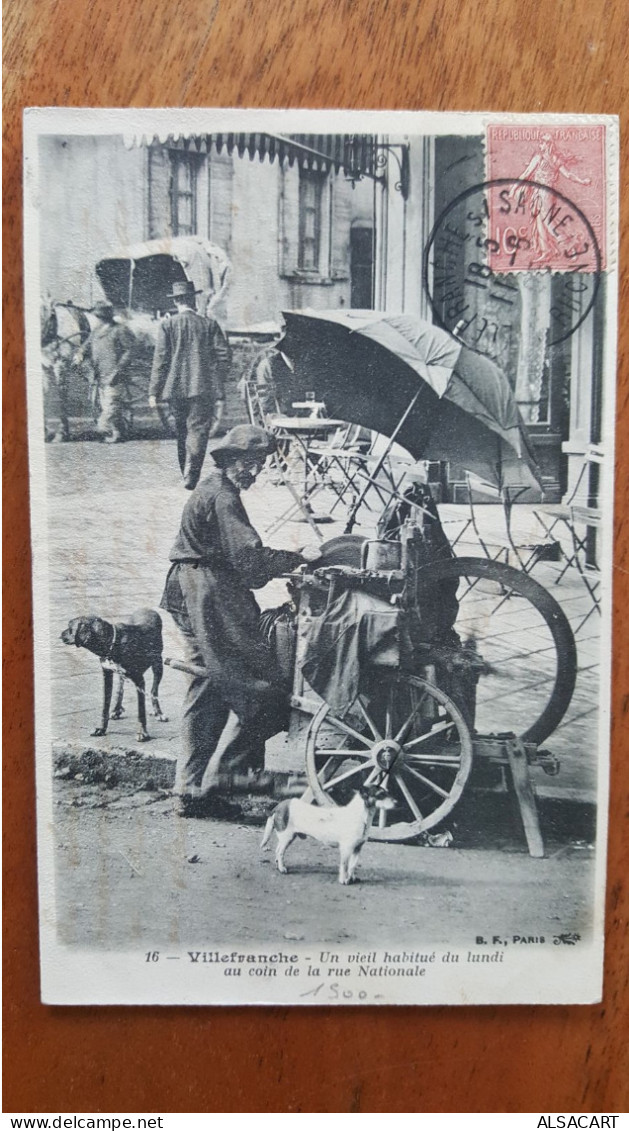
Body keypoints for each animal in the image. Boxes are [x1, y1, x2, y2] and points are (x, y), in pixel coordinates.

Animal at [60, 610, 167, 741]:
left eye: (70, 628)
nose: (60, 635)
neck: (112, 642)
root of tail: (148, 609)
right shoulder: (107, 675)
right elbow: (104, 707)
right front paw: (101, 729)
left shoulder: (139, 680)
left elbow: (141, 711)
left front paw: (142, 732)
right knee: (120, 689)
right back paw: (116, 709)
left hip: (158, 664)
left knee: (154, 690)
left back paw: (158, 713)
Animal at [260, 787, 393, 882]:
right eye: (381, 794)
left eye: (387, 792)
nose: (396, 802)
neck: (361, 816)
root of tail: (278, 806)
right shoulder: (346, 849)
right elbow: (345, 865)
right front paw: (344, 880)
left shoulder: (357, 848)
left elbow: (352, 865)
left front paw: (352, 878)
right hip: (286, 837)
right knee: (280, 852)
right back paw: (282, 868)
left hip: (289, 837)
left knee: (278, 851)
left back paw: (278, 865)